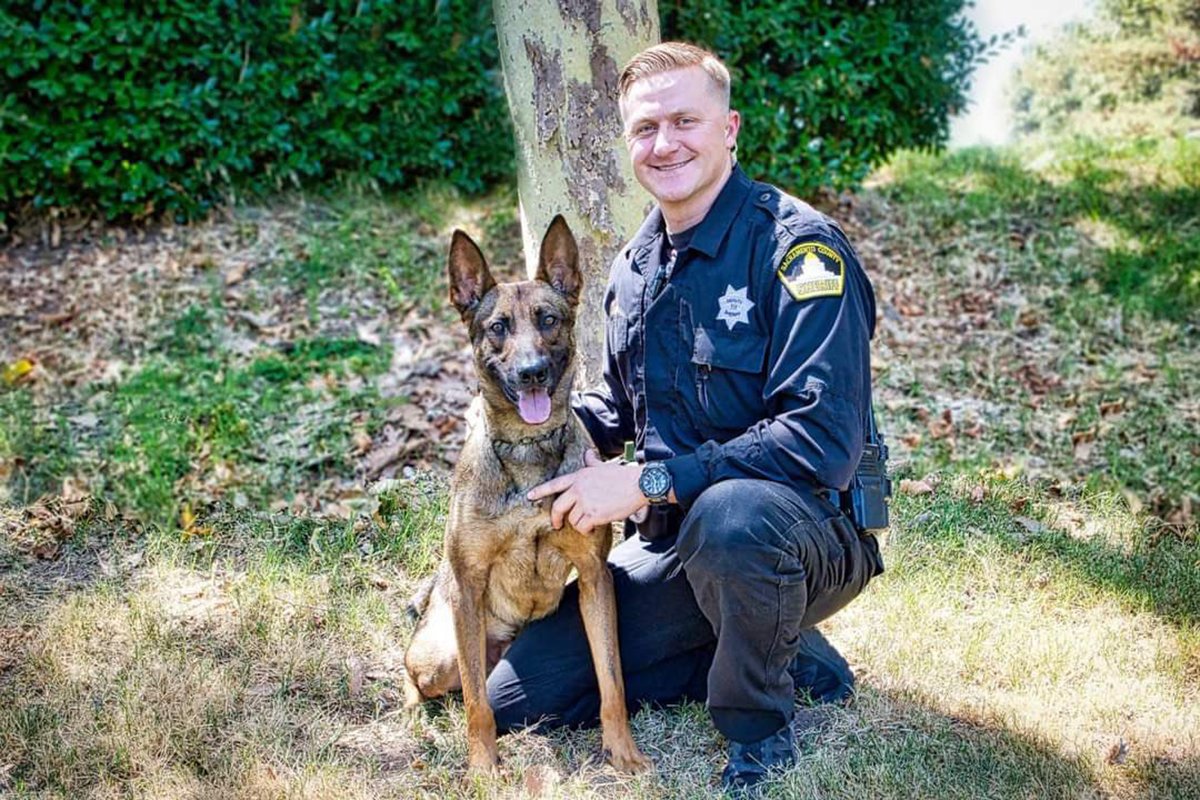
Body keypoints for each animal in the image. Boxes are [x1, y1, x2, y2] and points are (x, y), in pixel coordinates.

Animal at [400, 217, 648, 777]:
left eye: (548, 319)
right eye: (498, 328)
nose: (533, 370)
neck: (528, 450)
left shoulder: (594, 580)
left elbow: (613, 681)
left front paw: (621, 751)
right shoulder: (468, 587)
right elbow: (477, 705)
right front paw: (483, 768)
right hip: (442, 651)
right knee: (424, 677)